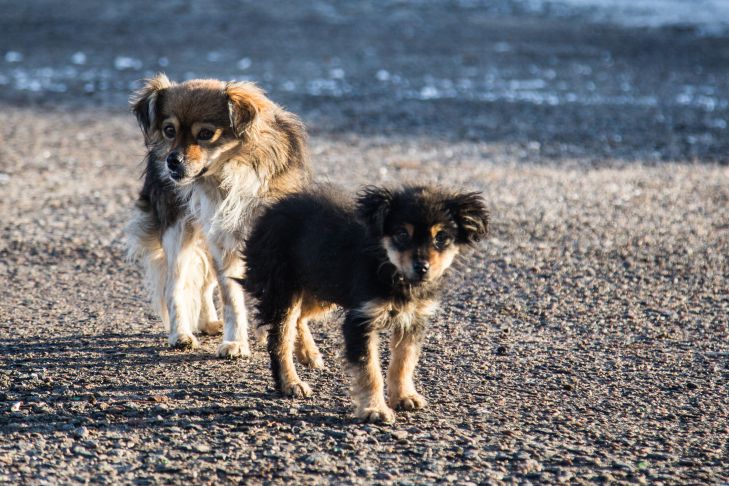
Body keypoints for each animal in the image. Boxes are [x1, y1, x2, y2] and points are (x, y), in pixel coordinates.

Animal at [124, 74, 310, 358]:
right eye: (169, 130)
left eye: (205, 134)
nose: (172, 161)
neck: (230, 173)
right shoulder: (224, 243)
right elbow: (231, 298)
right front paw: (235, 342)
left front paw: (304, 348)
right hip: (180, 232)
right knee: (175, 286)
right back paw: (181, 334)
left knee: (204, 284)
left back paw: (209, 322)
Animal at [243, 184, 490, 424]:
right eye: (402, 234)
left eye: (441, 237)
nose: (422, 268)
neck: (391, 270)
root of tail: (273, 206)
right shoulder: (360, 319)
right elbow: (369, 370)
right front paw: (374, 410)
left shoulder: (413, 319)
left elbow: (404, 361)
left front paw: (404, 396)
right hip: (284, 288)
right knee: (281, 337)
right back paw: (290, 382)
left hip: (322, 285)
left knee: (300, 317)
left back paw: (308, 353)